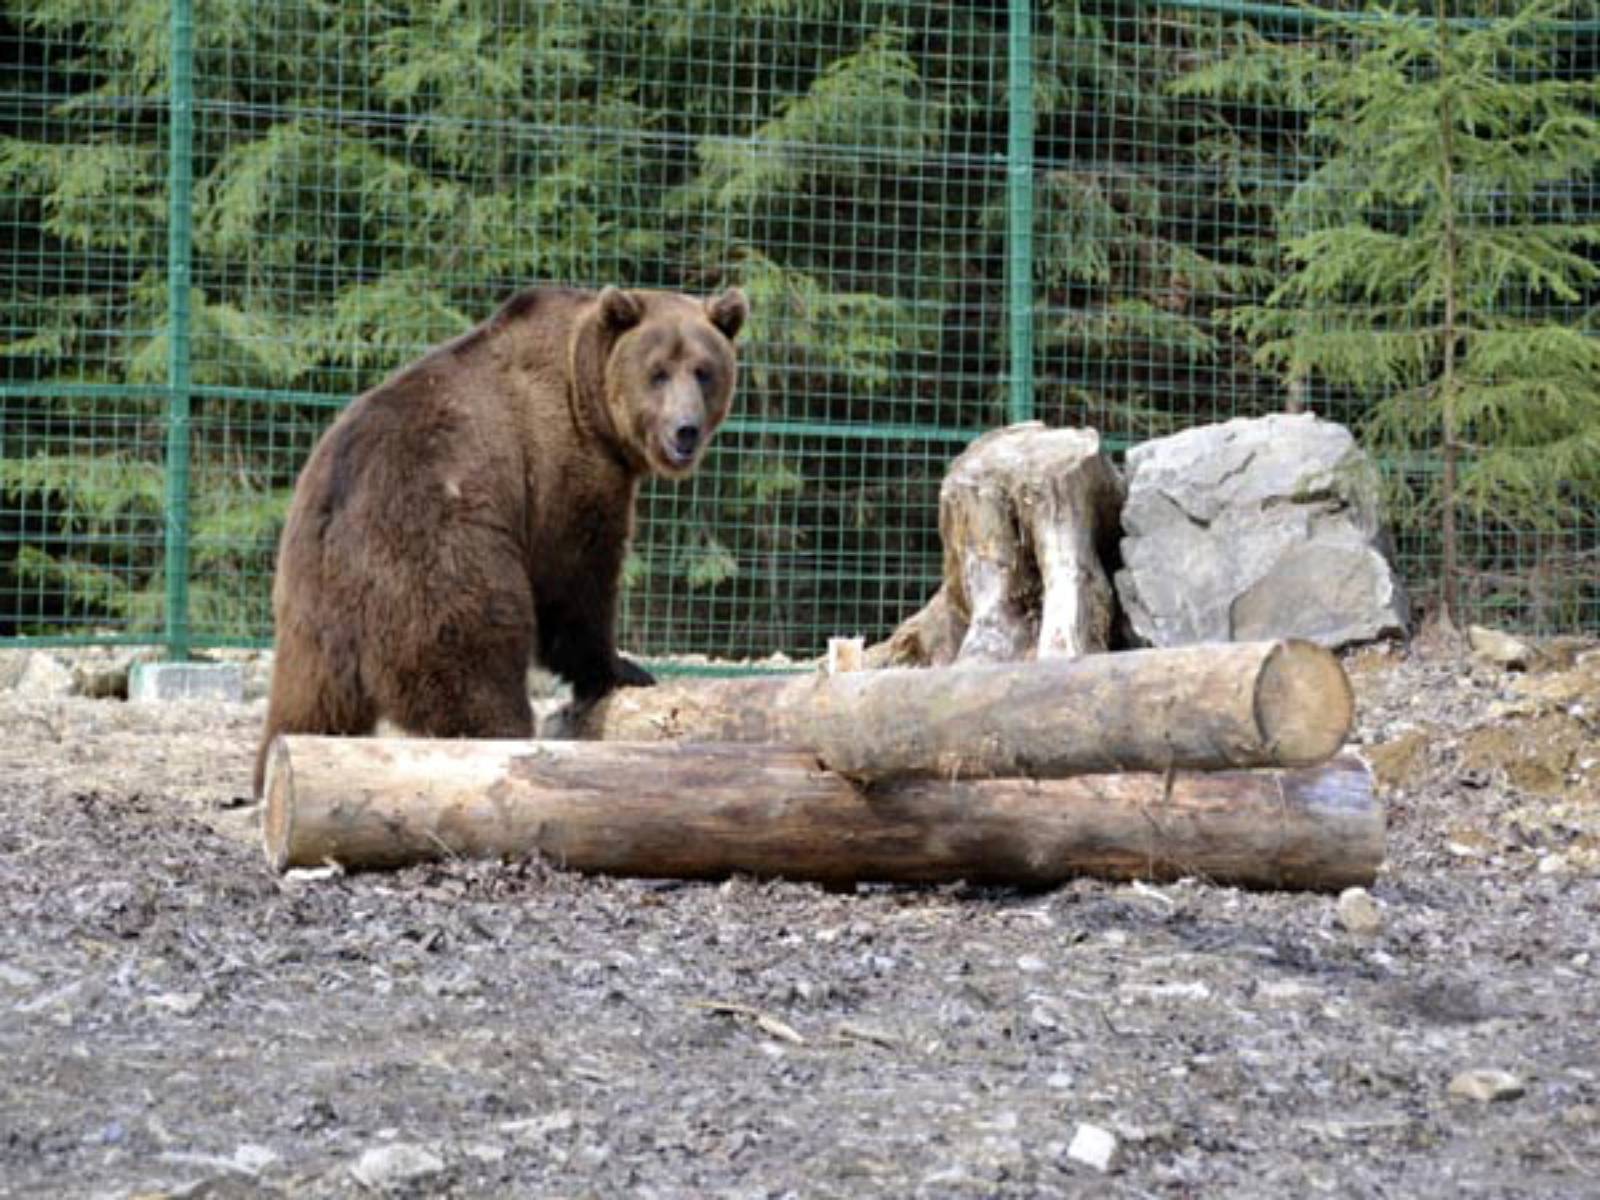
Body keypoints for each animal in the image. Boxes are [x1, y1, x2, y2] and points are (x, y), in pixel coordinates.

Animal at [251, 284, 748, 800]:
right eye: (657, 372)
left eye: (704, 370)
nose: (685, 429)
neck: (588, 399)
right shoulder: (564, 467)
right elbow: (576, 578)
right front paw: (621, 668)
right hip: (434, 558)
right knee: (477, 672)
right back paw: (505, 741)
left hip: (307, 619)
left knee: (304, 709)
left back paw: (267, 774)